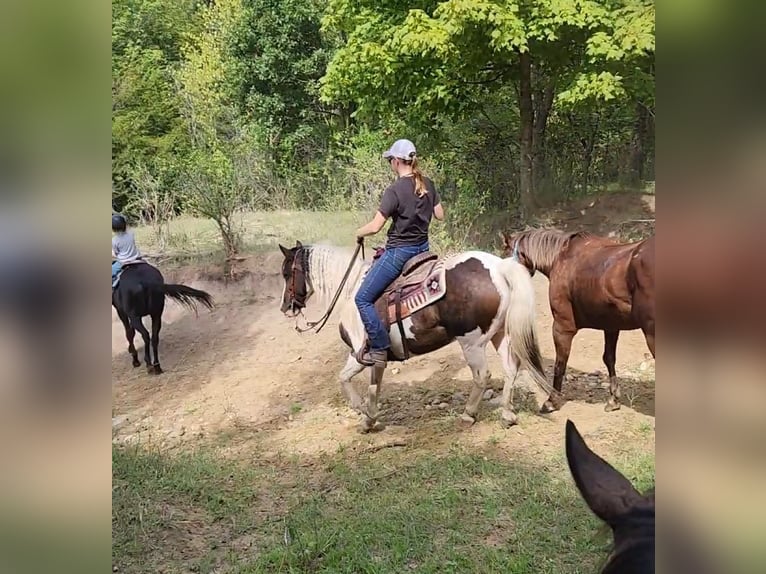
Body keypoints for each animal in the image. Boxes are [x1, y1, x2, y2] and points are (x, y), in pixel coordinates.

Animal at [278, 240, 560, 432]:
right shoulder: (370, 356)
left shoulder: (361, 352)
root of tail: (499, 267)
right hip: (499, 334)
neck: (351, 288)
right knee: (511, 369)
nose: (285, 307)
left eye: (286, 273)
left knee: (483, 376)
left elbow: (353, 381)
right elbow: (362, 382)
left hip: (471, 342)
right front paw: (368, 414)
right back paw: (507, 414)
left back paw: (468, 414)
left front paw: (364, 414)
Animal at [500, 230, 656, 414]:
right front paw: (613, 400)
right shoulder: (611, 326)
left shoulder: (562, 327)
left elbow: (560, 364)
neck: (561, 257)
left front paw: (551, 401)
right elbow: (609, 358)